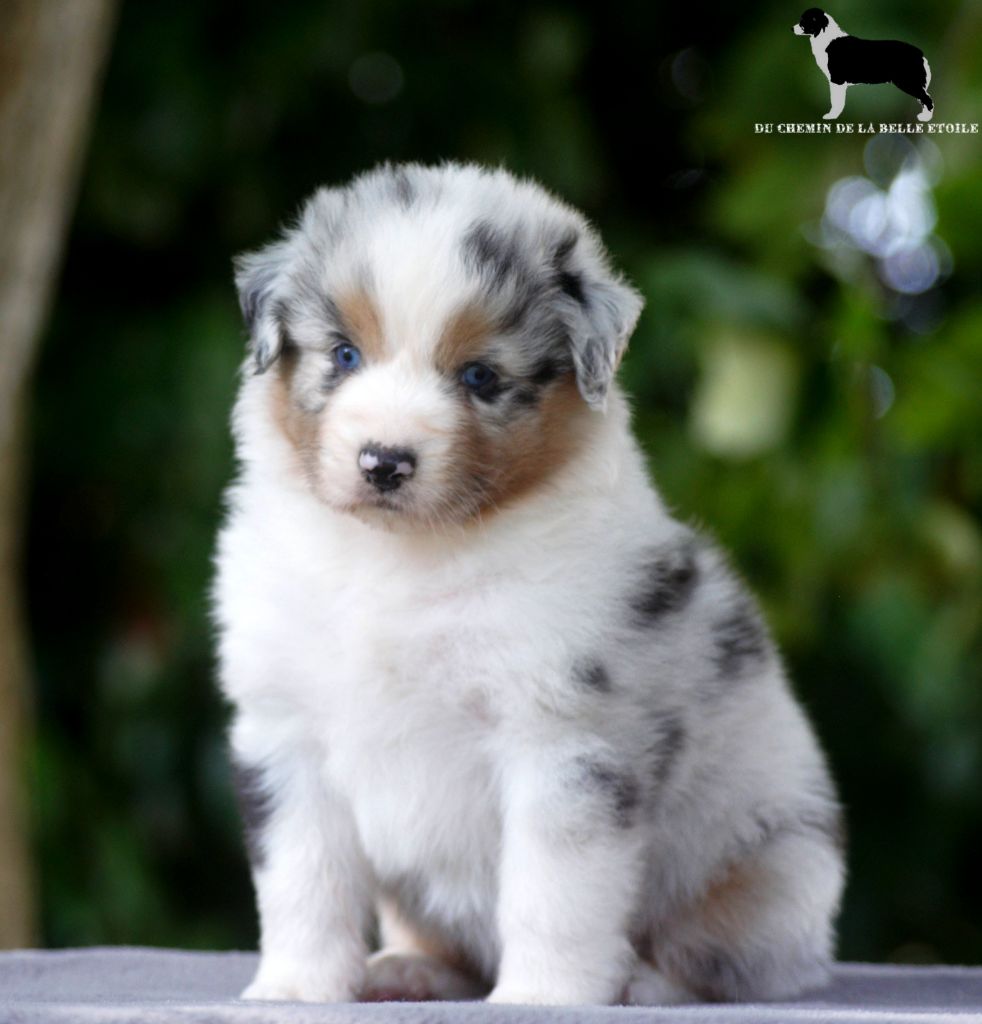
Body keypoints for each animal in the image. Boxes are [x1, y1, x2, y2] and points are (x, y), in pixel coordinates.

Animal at [213, 162, 845, 1006]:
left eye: (480, 376)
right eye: (344, 355)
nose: (384, 461)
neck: (402, 557)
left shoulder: (565, 738)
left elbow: (552, 892)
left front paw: (545, 995)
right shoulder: (287, 732)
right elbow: (303, 879)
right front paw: (295, 988)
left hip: (775, 865)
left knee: (727, 956)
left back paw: (645, 984)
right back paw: (409, 968)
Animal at [794, 8, 934, 122]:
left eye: (804, 21)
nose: (791, 28)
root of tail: (920, 53)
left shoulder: (836, 80)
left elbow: (836, 102)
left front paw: (832, 116)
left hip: (908, 82)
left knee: (927, 99)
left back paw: (925, 118)